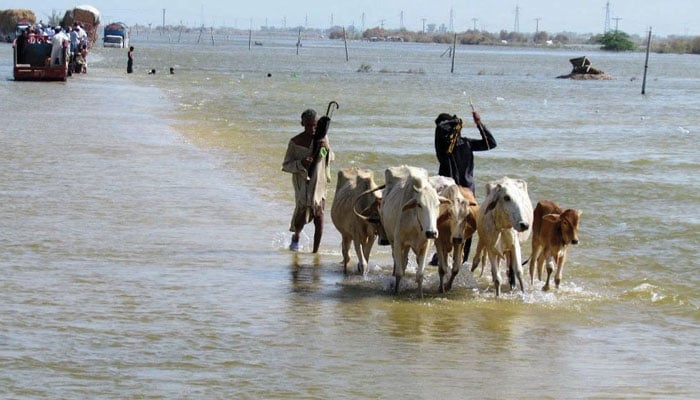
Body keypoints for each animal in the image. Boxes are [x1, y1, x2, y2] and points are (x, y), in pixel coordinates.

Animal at [380, 166, 446, 296]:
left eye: (438, 204)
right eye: (419, 205)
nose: (431, 232)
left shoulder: (425, 246)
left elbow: (420, 274)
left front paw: (420, 294)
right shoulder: (398, 242)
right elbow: (399, 272)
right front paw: (396, 291)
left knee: (406, 260)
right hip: (392, 240)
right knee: (398, 262)